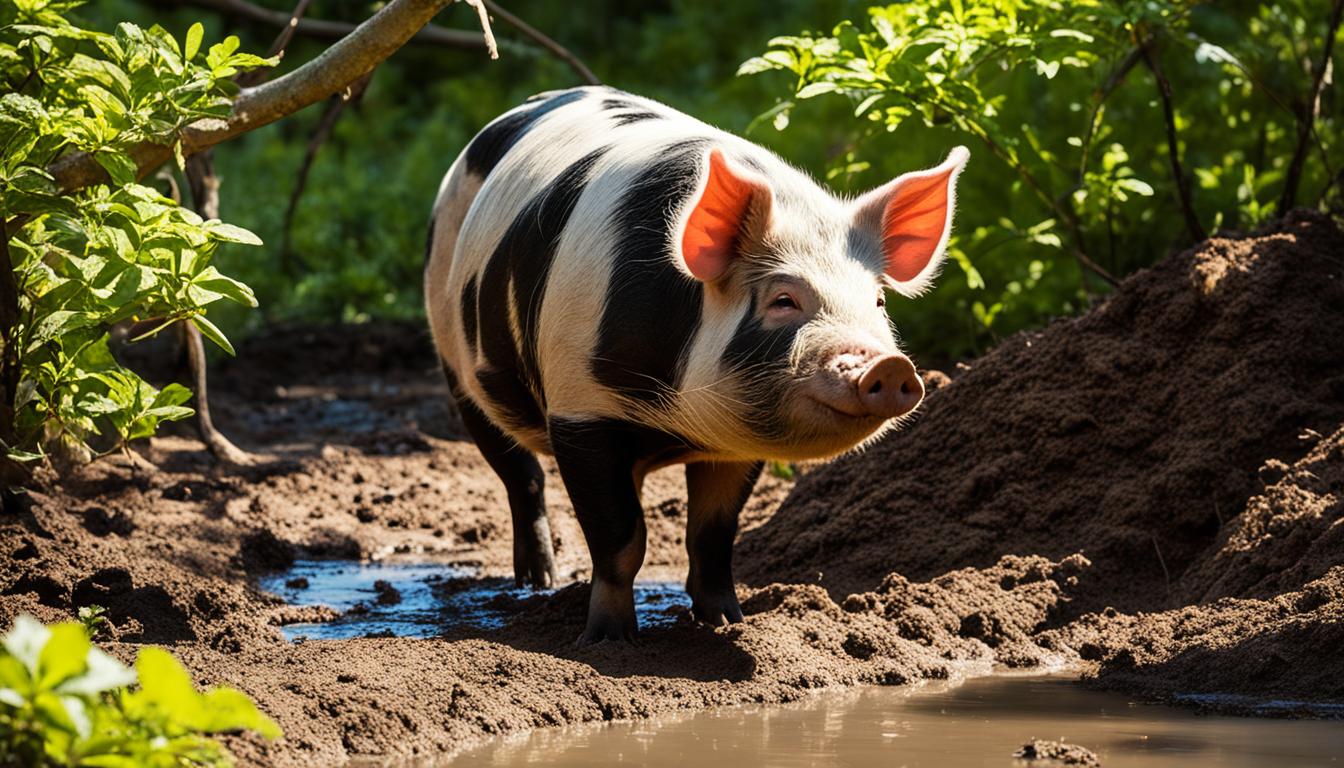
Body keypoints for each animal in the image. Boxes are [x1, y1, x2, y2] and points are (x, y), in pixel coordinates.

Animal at [424, 87, 962, 645]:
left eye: (878, 301)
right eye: (783, 300)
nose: (890, 366)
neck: (673, 418)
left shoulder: (733, 448)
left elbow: (712, 534)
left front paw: (729, 622)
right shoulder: (580, 409)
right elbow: (620, 537)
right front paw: (609, 641)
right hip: (456, 362)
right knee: (520, 474)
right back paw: (538, 581)